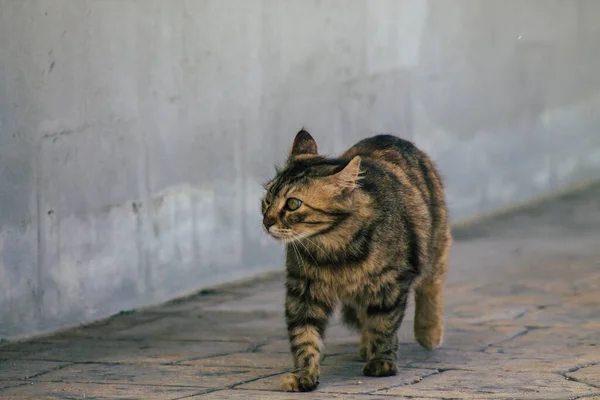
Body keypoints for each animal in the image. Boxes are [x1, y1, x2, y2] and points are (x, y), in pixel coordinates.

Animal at [260, 130, 452, 392]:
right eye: (268, 199)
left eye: (292, 204)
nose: (266, 221)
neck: (334, 250)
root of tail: (390, 136)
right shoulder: (304, 291)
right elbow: (305, 336)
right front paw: (304, 374)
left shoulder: (389, 284)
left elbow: (383, 325)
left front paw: (382, 362)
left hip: (434, 246)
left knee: (431, 285)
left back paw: (428, 333)